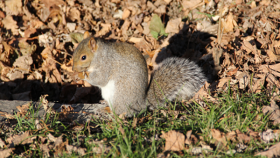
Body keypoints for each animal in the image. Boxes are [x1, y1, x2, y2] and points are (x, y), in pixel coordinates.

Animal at [71, 31, 206, 116]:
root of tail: (142, 103)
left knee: (120, 112)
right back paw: (104, 104)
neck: (100, 56)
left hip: (119, 96)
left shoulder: (106, 66)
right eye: (74, 51)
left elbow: (100, 79)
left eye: (83, 57)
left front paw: (81, 75)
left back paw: (107, 110)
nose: (73, 68)